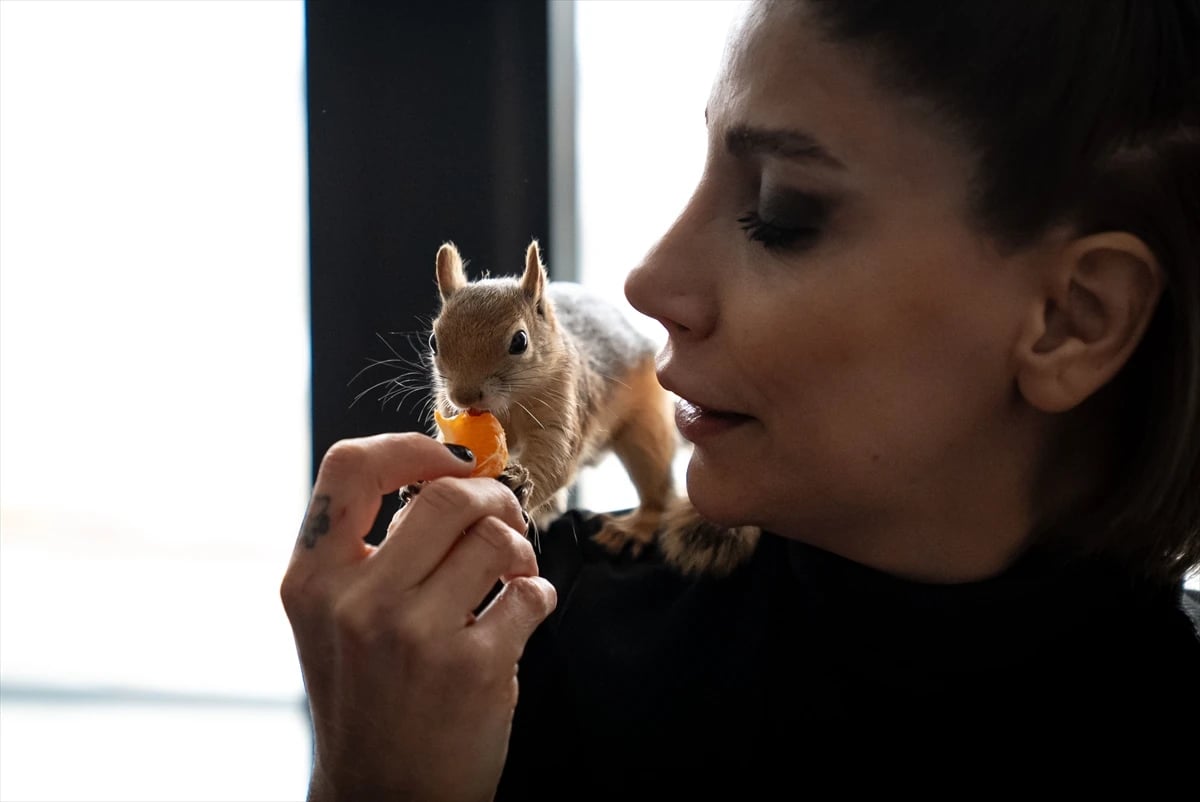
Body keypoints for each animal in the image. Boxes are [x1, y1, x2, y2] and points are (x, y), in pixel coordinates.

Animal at [413, 238, 759, 576]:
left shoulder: (565, 404)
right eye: (433, 341)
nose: (465, 397)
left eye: (520, 341)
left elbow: (556, 459)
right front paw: (420, 481)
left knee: (656, 488)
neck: (509, 406)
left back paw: (632, 528)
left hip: (644, 430)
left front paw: (520, 485)